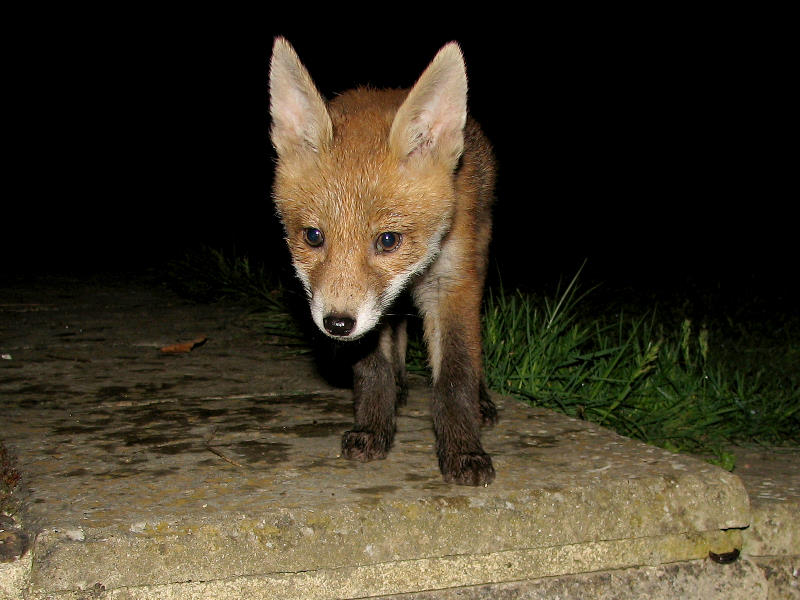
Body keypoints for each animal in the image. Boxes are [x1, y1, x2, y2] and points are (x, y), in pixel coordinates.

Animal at [268, 37, 497, 486]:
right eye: (313, 236)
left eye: (388, 240)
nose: (337, 324)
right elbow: (372, 367)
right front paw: (374, 426)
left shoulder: (451, 280)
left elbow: (456, 374)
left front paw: (463, 450)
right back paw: (399, 385)